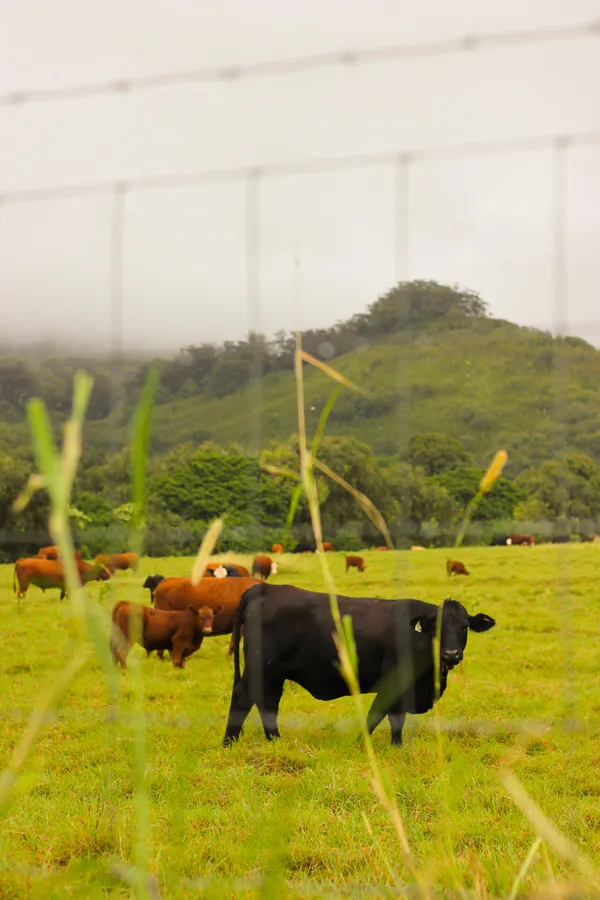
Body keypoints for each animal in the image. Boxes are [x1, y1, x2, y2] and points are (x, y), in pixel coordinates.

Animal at [223, 584, 494, 744]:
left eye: (464, 627)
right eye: (437, 628)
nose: (451, 653)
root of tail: (266, 587)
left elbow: (395, 718)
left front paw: (396, 745)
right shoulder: (392, 682)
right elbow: (379, 714)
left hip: (274, 674)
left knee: (267, 703)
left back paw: (275, 740)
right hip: (260, 667)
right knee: (242, 698)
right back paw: (229, 743)